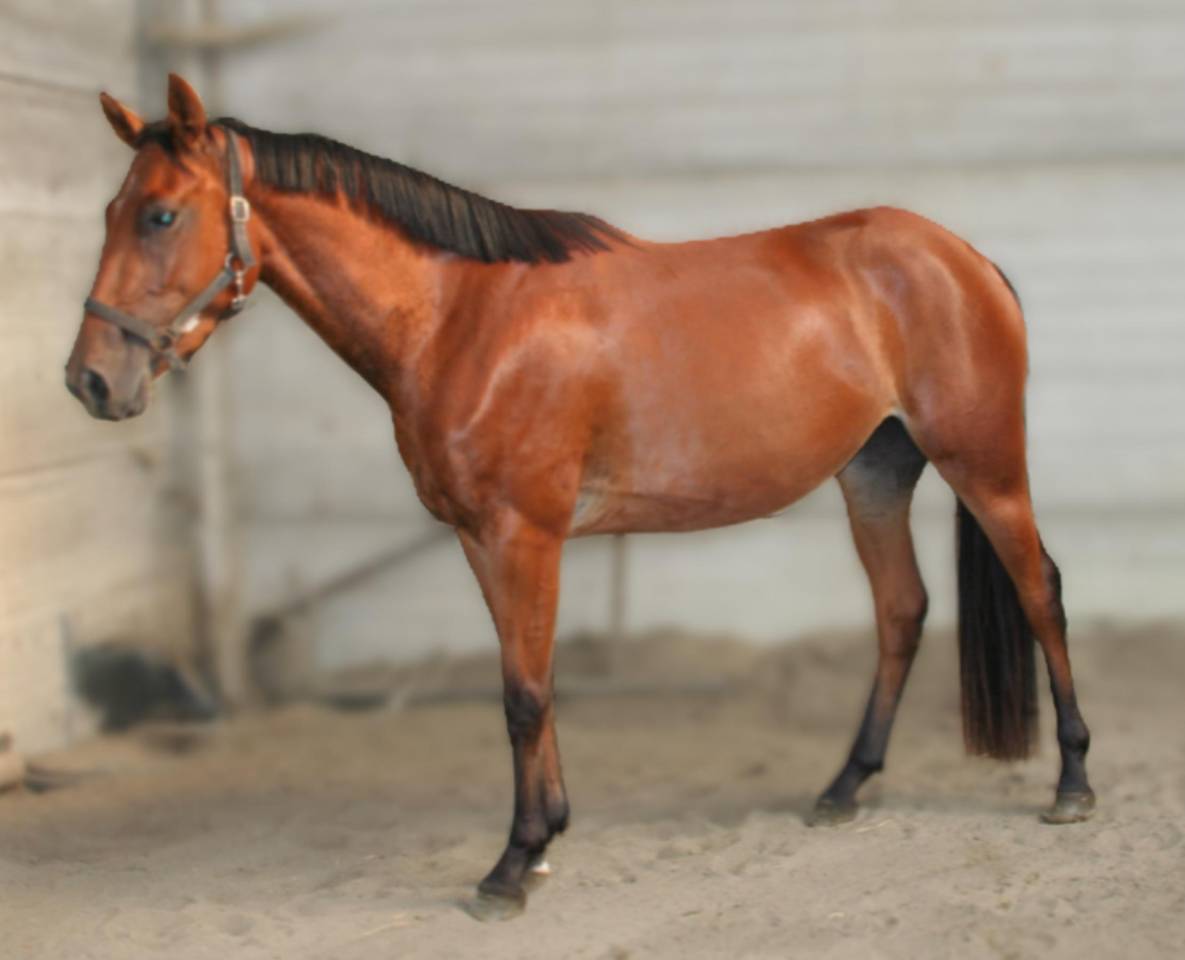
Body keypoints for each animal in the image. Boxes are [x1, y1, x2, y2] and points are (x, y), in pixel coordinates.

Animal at [65, 74, 1095, 915]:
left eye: (161, 216)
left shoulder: (523, 534)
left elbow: (524, 695)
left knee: (1038, 590)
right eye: (114, 210)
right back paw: (844, 788)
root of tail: (961, 256)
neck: (458, 318)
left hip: (983, 464)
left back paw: (1072, 785)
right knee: (900, 611)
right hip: (875, 472)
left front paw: (512, 866)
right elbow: (531, 686)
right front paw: (545, 840)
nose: (91, 381)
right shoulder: (481, 539)